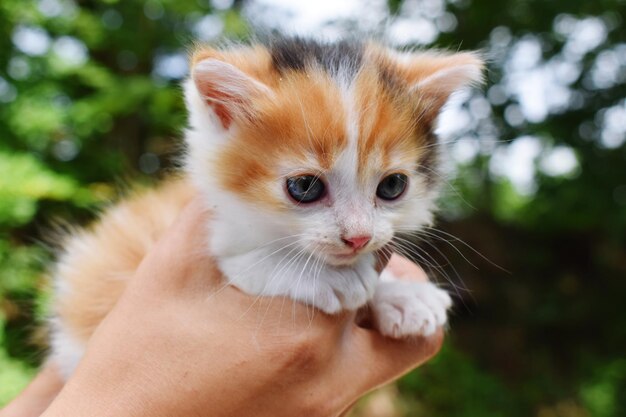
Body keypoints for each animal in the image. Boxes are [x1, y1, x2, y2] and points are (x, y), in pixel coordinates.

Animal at [47, 36, 482, 376]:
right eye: (305, 187)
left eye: (392, 186)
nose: (358, 237)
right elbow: (243, 259)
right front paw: (328, 277)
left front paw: (402, 295)